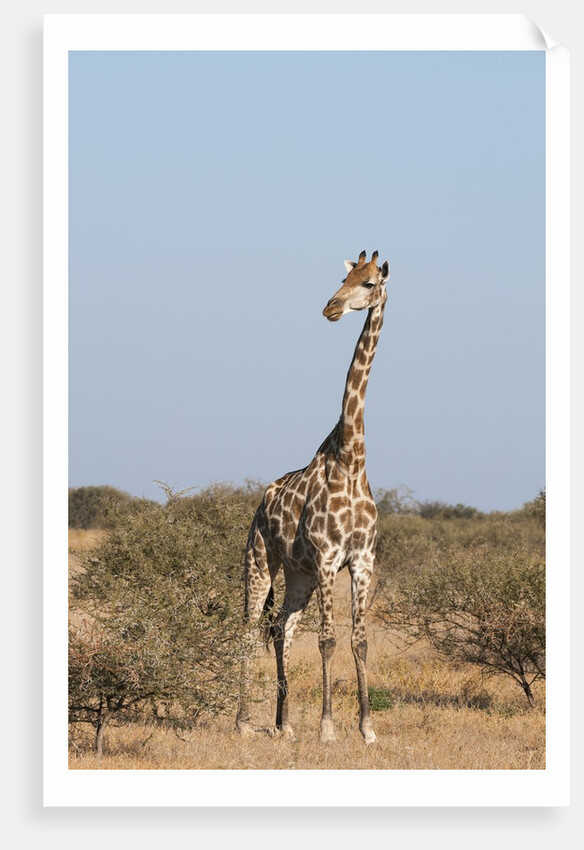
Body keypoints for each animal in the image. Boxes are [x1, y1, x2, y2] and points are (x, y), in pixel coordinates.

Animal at [236, 249, 390, 744]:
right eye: (343, 278)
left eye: (368, 282)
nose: (330, 307)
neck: (352, 459)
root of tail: (260, 504)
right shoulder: (327, 557)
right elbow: (327, 640)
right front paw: (327, 729)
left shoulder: (362, 560)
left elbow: (359, 640)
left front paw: (367, 729)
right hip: (260, 562)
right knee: (248, 630)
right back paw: (243, 722)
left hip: (298, 575)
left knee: (281, 628)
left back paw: (283, 724)